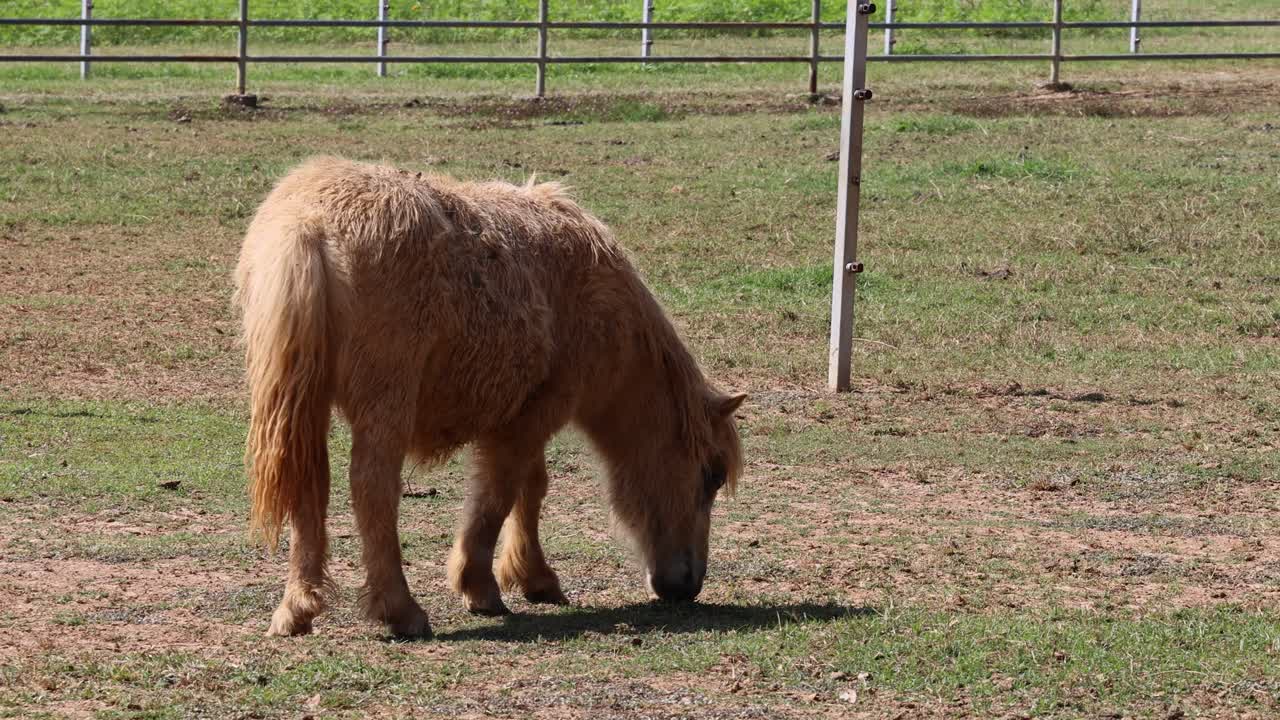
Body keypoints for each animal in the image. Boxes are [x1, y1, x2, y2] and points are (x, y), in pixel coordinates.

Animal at [234, 157, 746, 637]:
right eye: (711, 475)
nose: (687, 587)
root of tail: (310, 225)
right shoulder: (537, 412)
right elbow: (501, 495)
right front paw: (482, 587)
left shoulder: (525, 414)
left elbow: (528, 488)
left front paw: (532, 578)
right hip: (384, 404)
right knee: (372, 488)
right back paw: (400, 611)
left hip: (305, 405)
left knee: (308, 486)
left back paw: (298, 608)